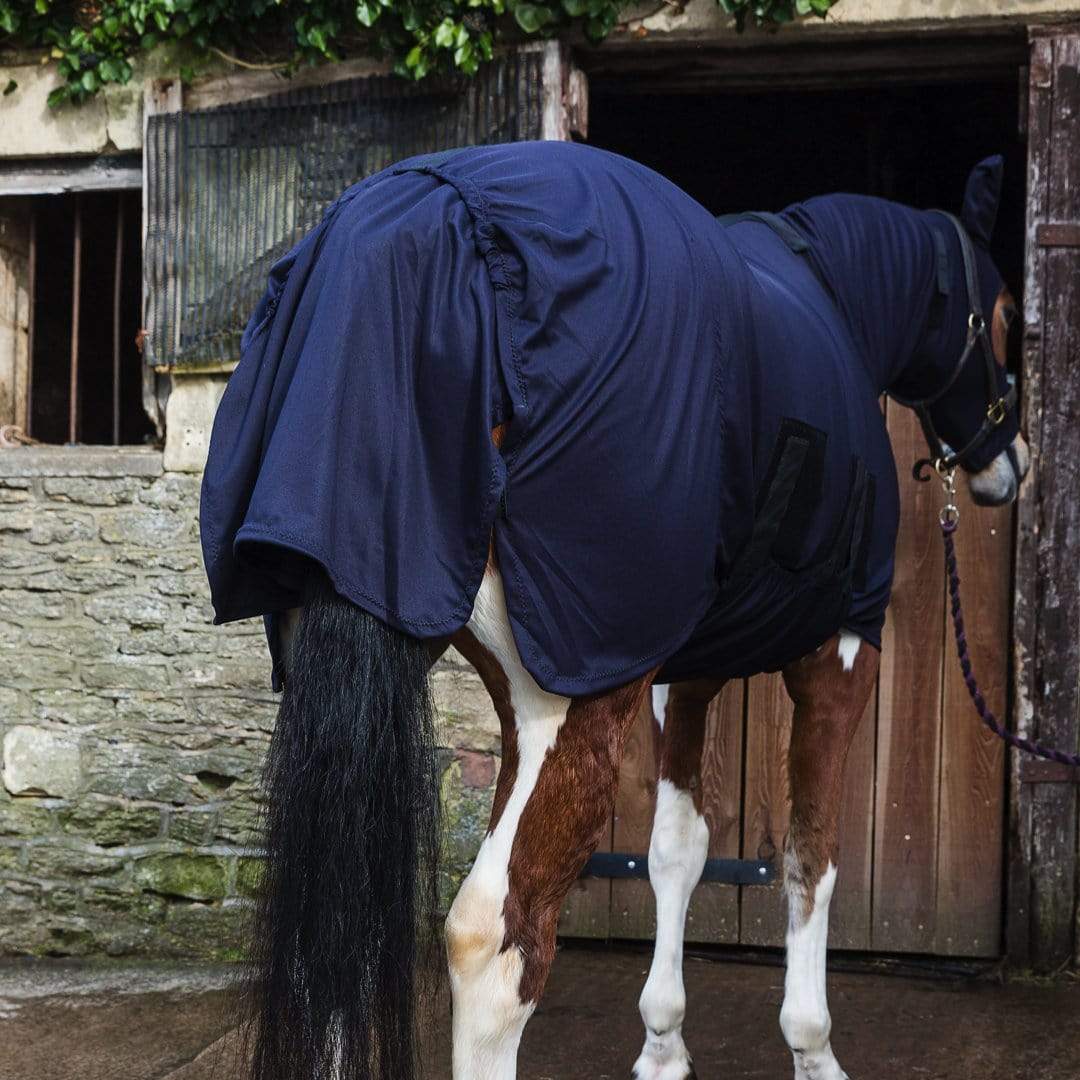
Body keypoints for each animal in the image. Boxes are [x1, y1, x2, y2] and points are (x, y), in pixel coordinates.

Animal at [199, 141, 1029, 1080]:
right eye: (1003, 315)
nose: (1008, 464)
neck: (834, 300)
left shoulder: (682, 675)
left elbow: (678, 850)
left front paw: (663, 1046)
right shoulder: (838, 658)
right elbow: (810, 858)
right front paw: (813, 1052)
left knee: (335, 939)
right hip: (562, 707)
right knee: (493, 939)